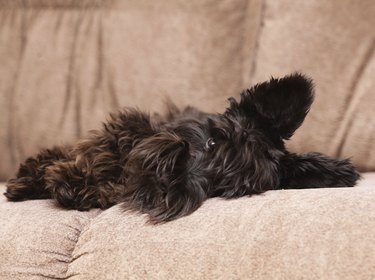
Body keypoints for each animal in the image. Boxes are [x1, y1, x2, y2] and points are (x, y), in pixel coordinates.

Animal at [3, 72, 362, 223]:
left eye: (223, 187)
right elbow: (98, 152)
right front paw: (50, 176)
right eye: (212, 141)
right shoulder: (129, 127)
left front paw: (78, 186)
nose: (171, 181)